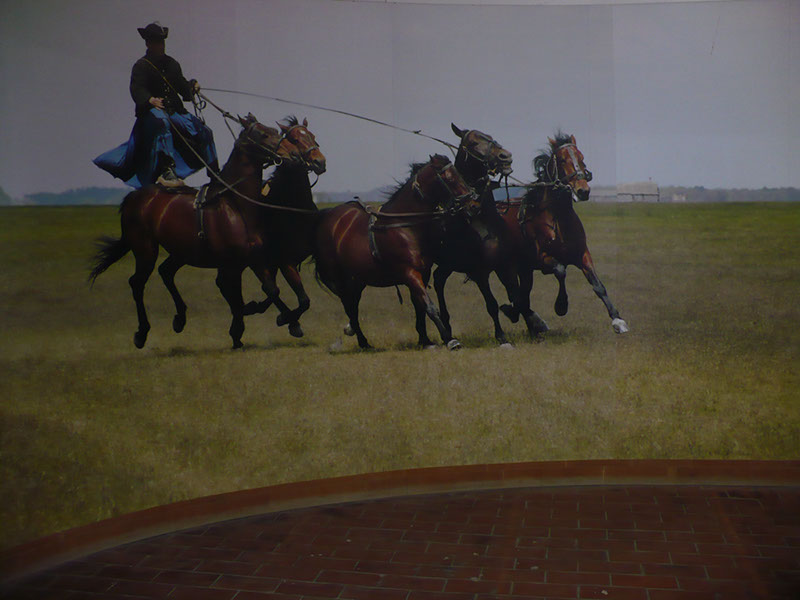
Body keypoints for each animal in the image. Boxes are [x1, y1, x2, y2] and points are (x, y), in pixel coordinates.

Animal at [88, 114, 326, 349]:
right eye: (264, 134)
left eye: (312, 136)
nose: (316, 161)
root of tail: (135, 197)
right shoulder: (247, 261)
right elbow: (252, 292)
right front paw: (268, 321)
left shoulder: (256, 258)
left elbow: (276, 291)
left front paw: (277, 321)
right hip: (146, 249)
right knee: (137, 283)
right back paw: (142, 333)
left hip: (182, 252)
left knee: (166, 272)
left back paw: (180, 319)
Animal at [313, 154, 481, 350]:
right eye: (450, 179)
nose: (475, 205)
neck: (404, 226)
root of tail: (326, 218)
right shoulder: (410, 273)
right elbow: (430, 306)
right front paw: (449, 339)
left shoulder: (423, 273)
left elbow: (420, 305)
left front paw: (425, 340)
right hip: (340, 280)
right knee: (350, 307)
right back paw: (363, 341)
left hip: (356, 280)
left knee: (352, 306)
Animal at [498, 133, 629, 335]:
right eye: (562, 159)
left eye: (582, 158)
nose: (583, 191)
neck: (558, 220)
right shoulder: (542, 258)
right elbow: (561, 271)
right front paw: (561, 305)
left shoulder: (582, 254)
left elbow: (598, 285)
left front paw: (617, 320)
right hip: (507, 266)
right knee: (516, 293)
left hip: (524, 269)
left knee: (522, 295)